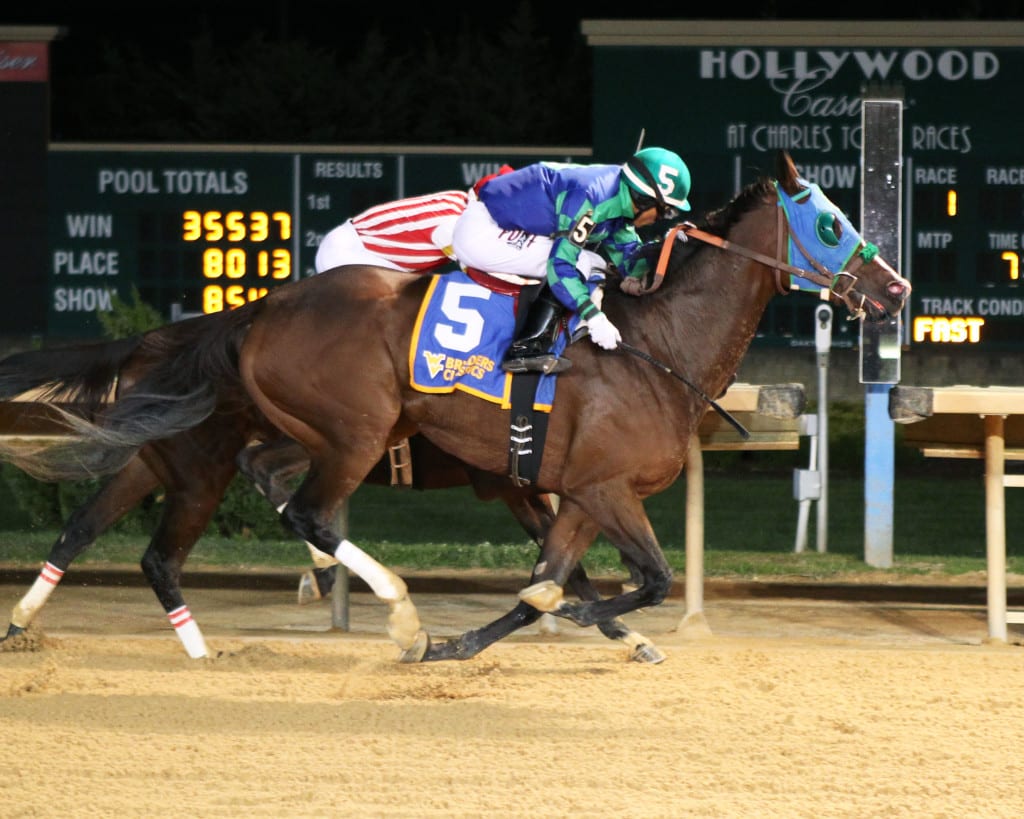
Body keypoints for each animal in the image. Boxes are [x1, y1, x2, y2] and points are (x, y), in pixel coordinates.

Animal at [2, 153, 913, 663]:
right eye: (832, 223)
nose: (897, 289)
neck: (656, 345)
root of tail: (256, 309)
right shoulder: (601, 487)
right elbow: (638, 579)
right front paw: (549, 619)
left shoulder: (572, 493)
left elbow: (554, 576)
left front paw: (478, 639)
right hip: (340, 436)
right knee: (287, 516)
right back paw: (389, 611)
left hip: (261, 441)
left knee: (140, 520)